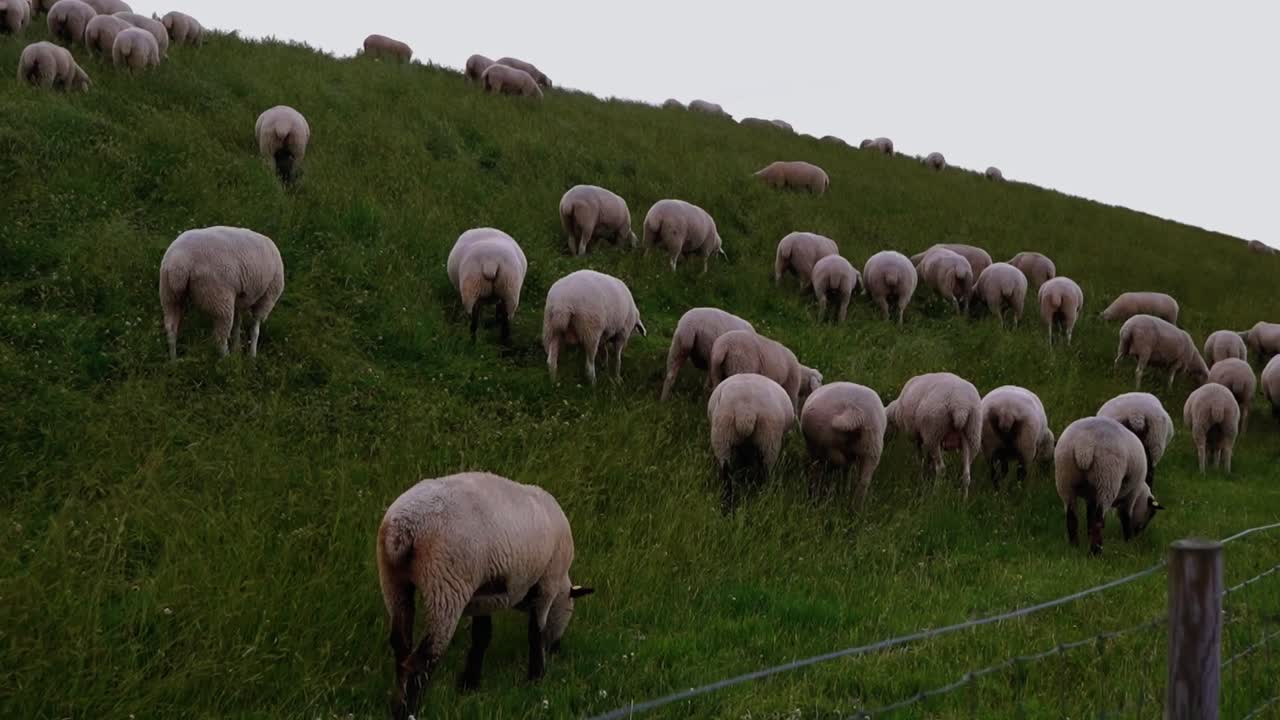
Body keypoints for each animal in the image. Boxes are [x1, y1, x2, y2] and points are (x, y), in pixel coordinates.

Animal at [158, 226, 284, 360]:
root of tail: (179, 264)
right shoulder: (267, 298)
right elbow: (255, 329)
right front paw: (252, 356)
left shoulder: (239, 299)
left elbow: (237, 324)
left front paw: (237, 349)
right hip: (219, 297)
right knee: (220, 338)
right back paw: (228, 360)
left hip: (169, 295)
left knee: (171, 328)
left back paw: (174, 360)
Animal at [377, 472, 592, 720]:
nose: (557, 649)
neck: (561, 586)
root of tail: (404, 528)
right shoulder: (547, 584)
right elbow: (535, 632)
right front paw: (536, 677)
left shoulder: (484, 598)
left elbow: (482, 636)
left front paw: (470, 684)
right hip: (446, 584)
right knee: (426, 655)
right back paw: (408, 710)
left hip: (392, 580)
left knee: (401, 644)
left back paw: (398, 699)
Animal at [708, 373, 795, 510]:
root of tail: (745, 410)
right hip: (768, 438)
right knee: (765, 471)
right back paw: (762, 496)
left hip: (722, 435)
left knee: (727, 474)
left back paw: (727, 506)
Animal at [1055, 416, 1161, 555]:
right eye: (1151, 513)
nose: (1138, 534)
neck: (1141, 492)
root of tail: (1084, 447)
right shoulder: (1132, 494)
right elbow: (1125, 516)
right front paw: (1128, 541)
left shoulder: (1091, 496)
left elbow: (1090, 515)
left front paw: (1089, 535)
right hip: (1107, 479)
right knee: (1099, 520)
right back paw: (1096, 551)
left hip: (1065, 478)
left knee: (1072, 516)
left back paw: (1074, 546)